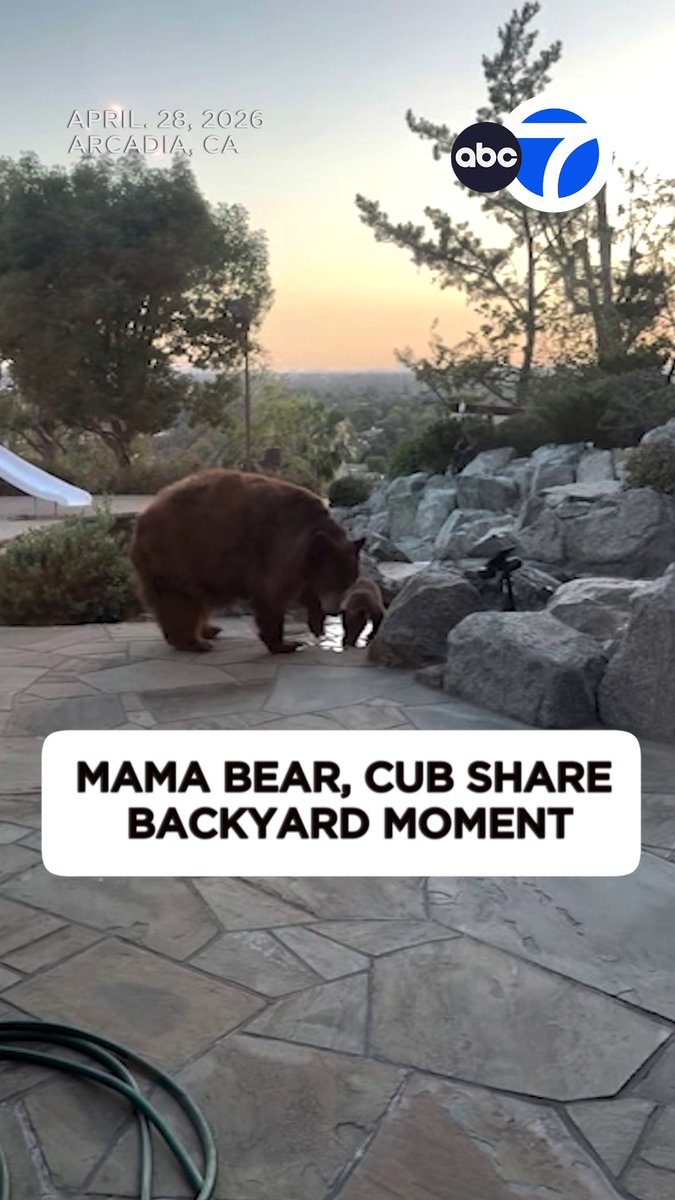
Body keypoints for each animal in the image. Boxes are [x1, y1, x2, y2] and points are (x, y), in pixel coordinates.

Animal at [129, 469, 364, 655]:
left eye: (349, 581)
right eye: (332, 580)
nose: (334, 610)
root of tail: (143, 518)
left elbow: (305, 590)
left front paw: (316, 623)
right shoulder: (279, 552)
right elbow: (272, 596)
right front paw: (285, 643)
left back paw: (209, 630)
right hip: (179, 554)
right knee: (181, 599)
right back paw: (195, 642)